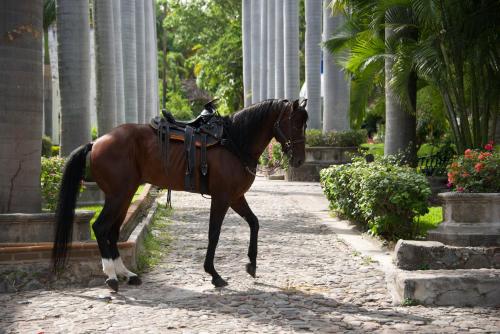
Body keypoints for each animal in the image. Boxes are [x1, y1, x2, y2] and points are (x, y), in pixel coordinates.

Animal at [51, 98, 308, 290]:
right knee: (101, 228)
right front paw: (214, 274)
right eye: (295, 123)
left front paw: (251, 265)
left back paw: (127, 274)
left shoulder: (236, 197)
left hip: (125, 195)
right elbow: (214, 233)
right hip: (118, 195)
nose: (299, 160)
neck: (233, 141)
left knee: (112, 233)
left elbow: (254, 223)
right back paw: (112, 277)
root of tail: (96, 142)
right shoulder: (222, 197)